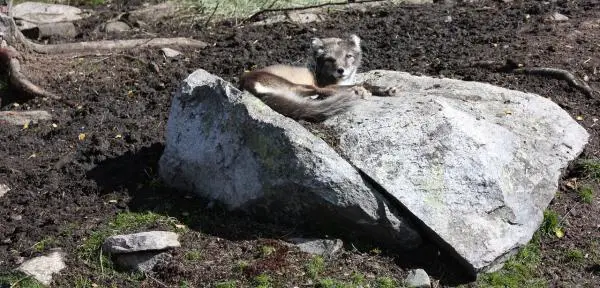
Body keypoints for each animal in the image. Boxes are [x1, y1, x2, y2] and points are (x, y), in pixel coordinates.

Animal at [239, 34, 398, 122]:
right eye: (330, 60)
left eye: (348, 56)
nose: (341, 70)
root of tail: (245, 82)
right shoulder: (327, 85)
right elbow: (362, 82)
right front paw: (361, 89)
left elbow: (367, 82)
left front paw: (385, 89)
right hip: (299, 85)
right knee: (319, 92)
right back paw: (355, 92)